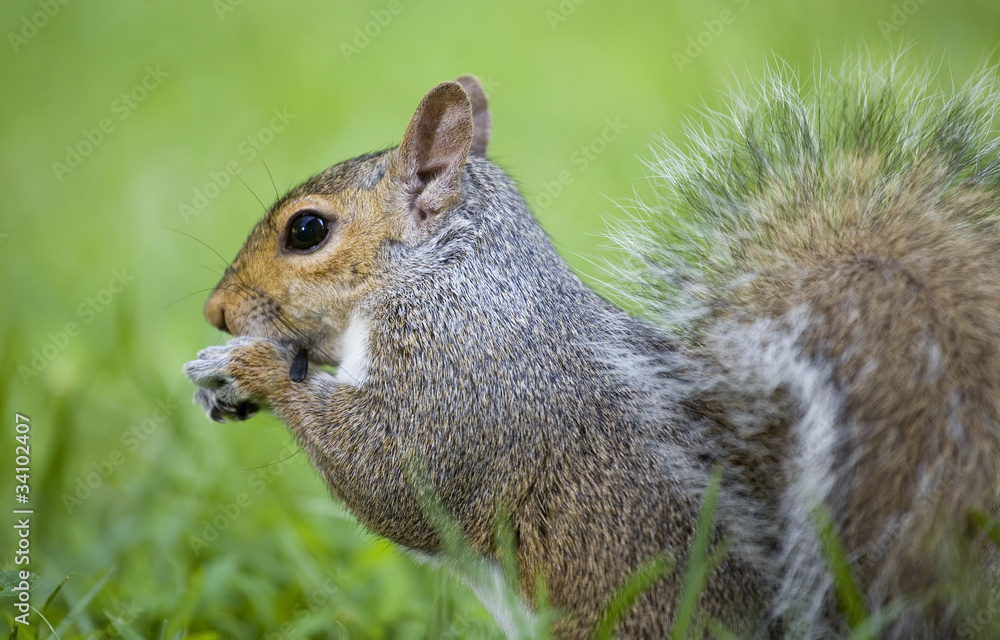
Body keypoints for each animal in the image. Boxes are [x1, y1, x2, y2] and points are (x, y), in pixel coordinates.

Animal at [186, 62, 1000, 636]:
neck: (442, 276)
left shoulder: (463, 378)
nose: (215, 311)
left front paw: (253, 367)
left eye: (307, 231)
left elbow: (394, 478)